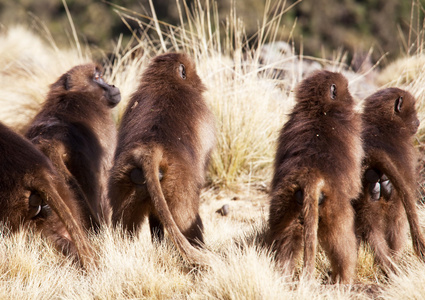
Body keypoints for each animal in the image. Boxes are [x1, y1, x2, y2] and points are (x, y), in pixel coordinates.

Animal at [108, 52, 215, 264]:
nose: (200, 81)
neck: (166, 81)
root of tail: (150, 151)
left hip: (126, 182)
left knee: (124, 227)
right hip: (178, 188)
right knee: (187, 221)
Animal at [266, 70, 362, 284]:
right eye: (347, 88)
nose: (354, 97)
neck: (319, 109)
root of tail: (311, 178)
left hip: (287, 201)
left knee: (286, 241)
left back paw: (283, 276)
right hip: (334, 208)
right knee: (341, 243)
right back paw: (344, 279)